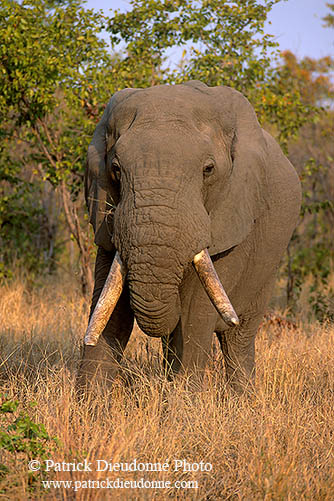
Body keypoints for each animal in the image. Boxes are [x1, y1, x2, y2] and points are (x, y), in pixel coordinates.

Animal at [77, 80, 302, 392]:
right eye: (116, 170)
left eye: (208, 170)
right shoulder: (107, 223)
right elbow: (108, 307)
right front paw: (89, 403)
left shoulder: (232, 213)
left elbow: (195, 314)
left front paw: (183, 405)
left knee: (238, 338)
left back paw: (243, 399)